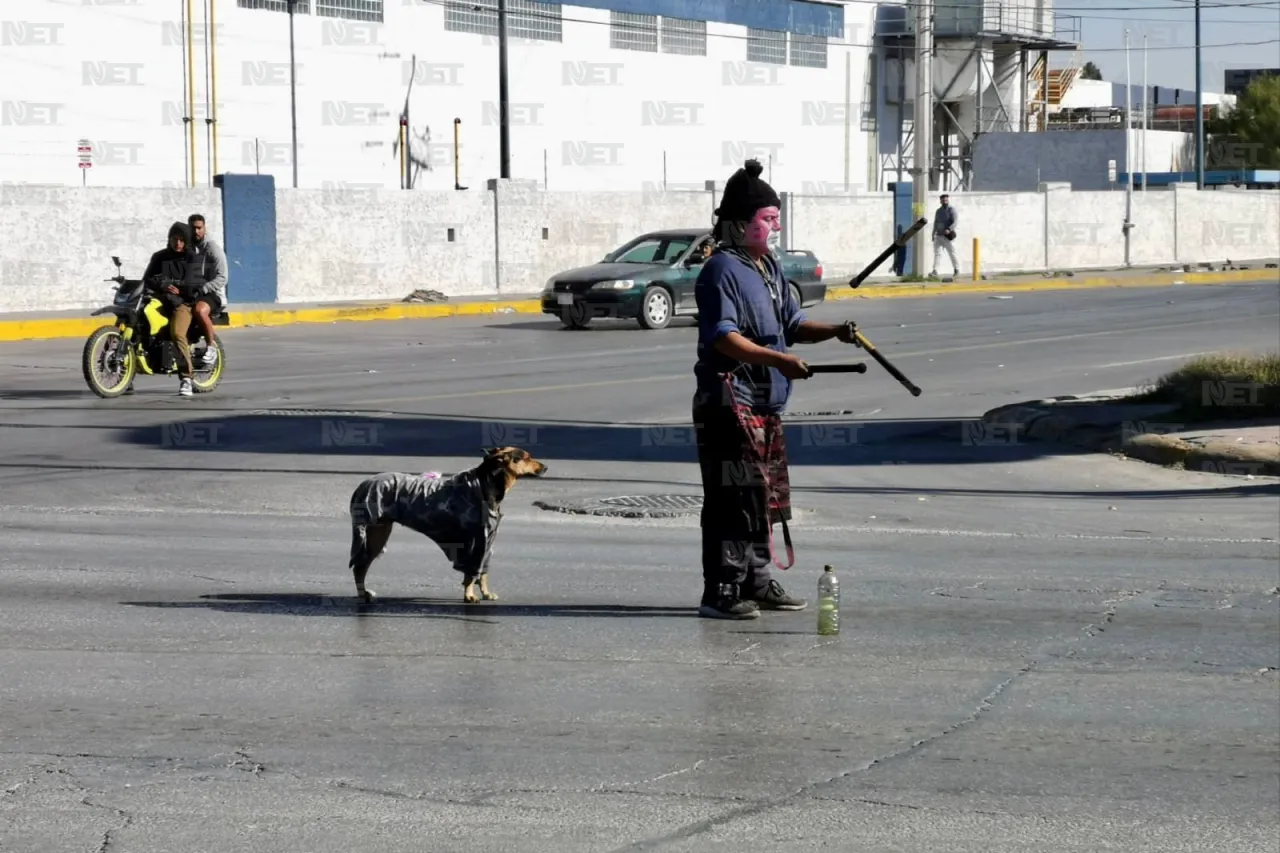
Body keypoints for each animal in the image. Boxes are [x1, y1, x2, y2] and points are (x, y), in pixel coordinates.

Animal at [348, 448, 547, 601]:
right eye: (527, 457)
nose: (546, 467)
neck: (485, 484)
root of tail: (364, 484)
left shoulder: (487, 542)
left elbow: (483, 573)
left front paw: (486, 593)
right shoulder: (475, 543)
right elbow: (470, 574)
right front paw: (469, 595)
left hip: (378, 532)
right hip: (374, 535)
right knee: (360, 566)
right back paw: (362, 593)